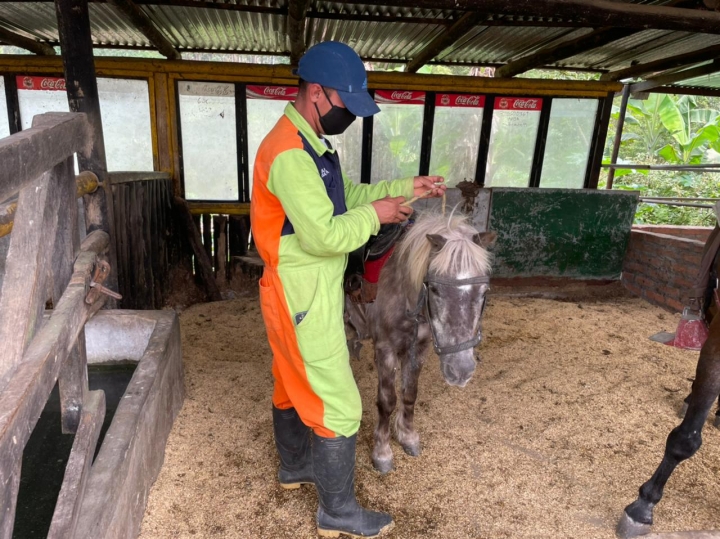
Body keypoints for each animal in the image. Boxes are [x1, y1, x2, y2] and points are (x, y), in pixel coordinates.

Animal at [344, 210, 496, 472]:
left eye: (484, 291)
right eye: (434, 289)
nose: (461, 371)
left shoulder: (419, 348)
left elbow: (409, 394)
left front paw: (407, 437)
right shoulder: (385, 350)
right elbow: (387, 401)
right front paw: (382, 452)